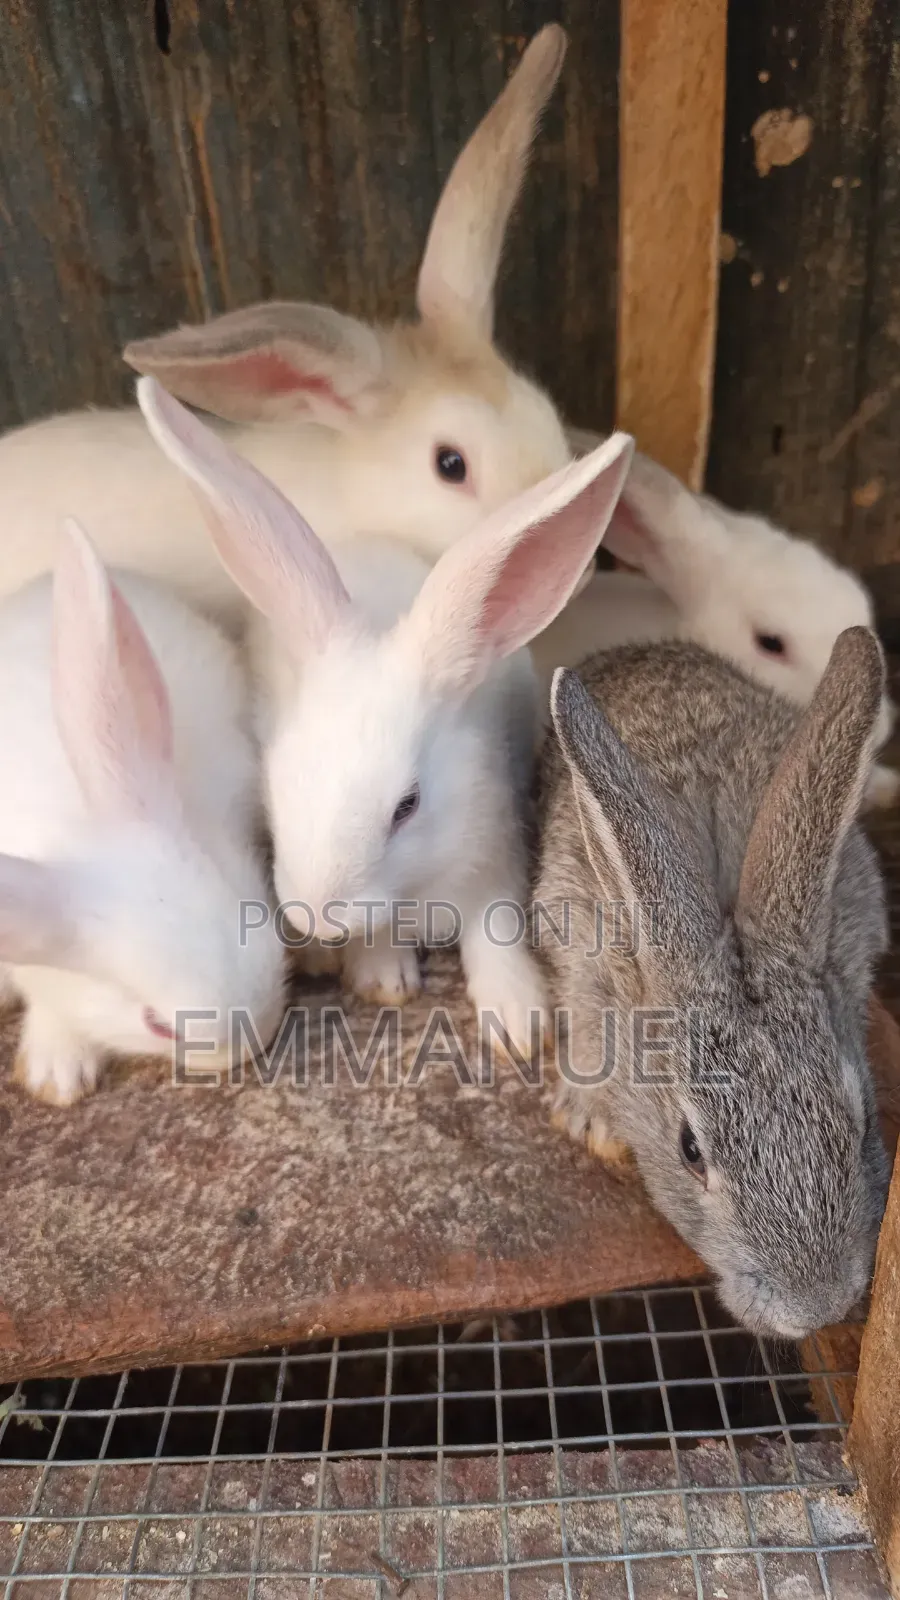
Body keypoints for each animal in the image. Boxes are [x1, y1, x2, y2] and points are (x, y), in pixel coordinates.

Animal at [137, 376, 634, 1059]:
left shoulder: (495, 860)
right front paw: (382, 979)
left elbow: (496, 931)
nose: (317, 913)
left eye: (408, 805)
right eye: (275, 785)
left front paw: (519, 1023)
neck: (413, 890)